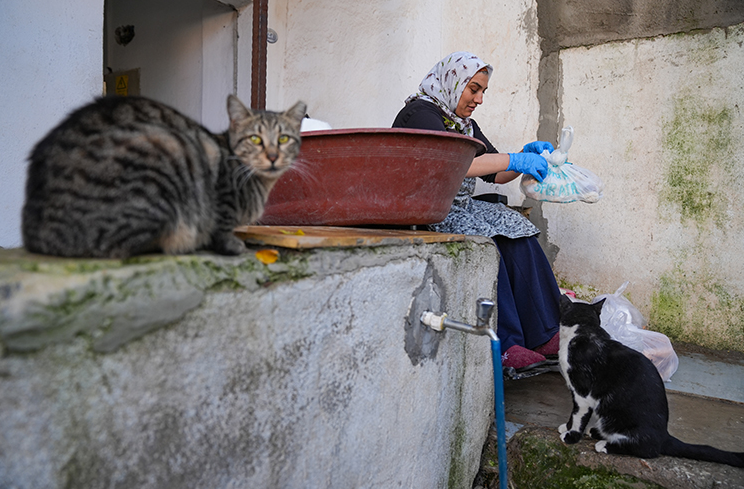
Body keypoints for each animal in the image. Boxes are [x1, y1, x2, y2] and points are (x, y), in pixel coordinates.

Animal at [21, 93, 306, 258]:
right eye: (255, 139)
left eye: (283, 139)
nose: (272, 156)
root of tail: (34, 232)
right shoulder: (220, 192)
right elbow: (221, 224)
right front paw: (231, 245)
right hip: (166, 151)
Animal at [560, 296, 744, 468]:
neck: (585, 329)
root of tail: (664, 436)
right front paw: (566, 427)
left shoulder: (582, 393)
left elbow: (578, 415)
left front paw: (571, 435)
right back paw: (596, 432)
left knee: (647, 450)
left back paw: (604, 445)